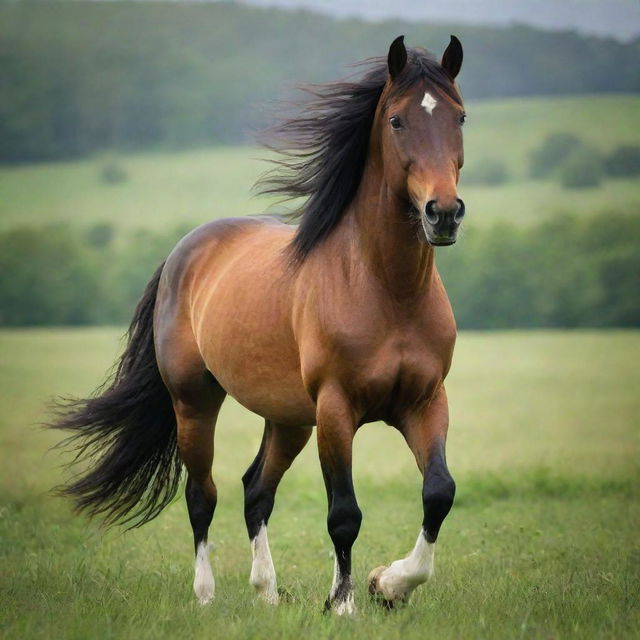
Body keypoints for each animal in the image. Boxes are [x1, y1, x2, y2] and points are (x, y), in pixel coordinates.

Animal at [55, 36, 464, 616]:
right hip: (195, 403)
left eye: (460, 116)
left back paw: (267, 592)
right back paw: (205, 595)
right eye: (397, 120)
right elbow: (344, 513)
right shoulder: (336, 410)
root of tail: (184, 251)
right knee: (202, 494)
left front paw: (388, 584)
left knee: (256, 489)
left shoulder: (425, 402)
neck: (388, 290)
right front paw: (343, 603)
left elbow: (438, 493)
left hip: (288, 418)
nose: (443, 213)